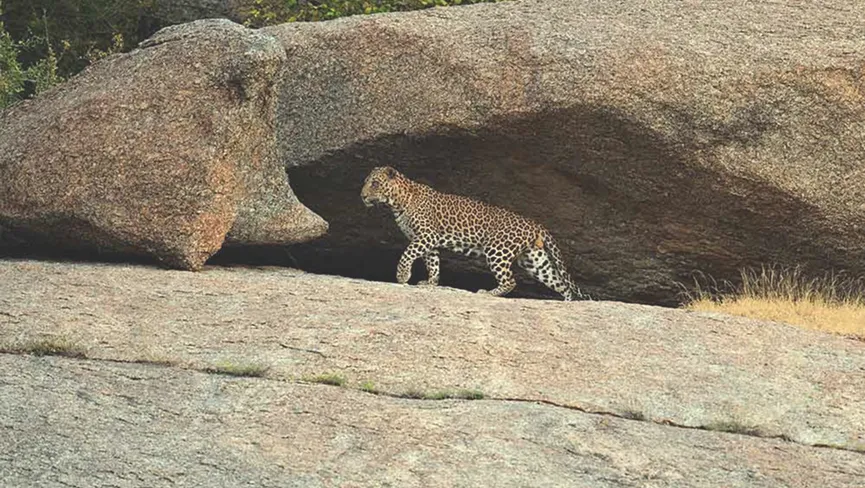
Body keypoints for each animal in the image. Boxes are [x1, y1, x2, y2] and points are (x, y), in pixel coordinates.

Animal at [360, 166, 584, 301]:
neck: (398, 203)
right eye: (366, 182)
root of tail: (535, 224)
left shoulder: (425, 236)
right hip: (535, 261)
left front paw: (402, 276)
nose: (362, 196)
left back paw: (489, 293)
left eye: (375, 183)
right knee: (561, 284)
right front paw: (430, 283)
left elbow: (406, 255)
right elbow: (433, 263)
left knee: (510, 280)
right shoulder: (428, 242)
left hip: (497, 251)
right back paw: (566, 304)